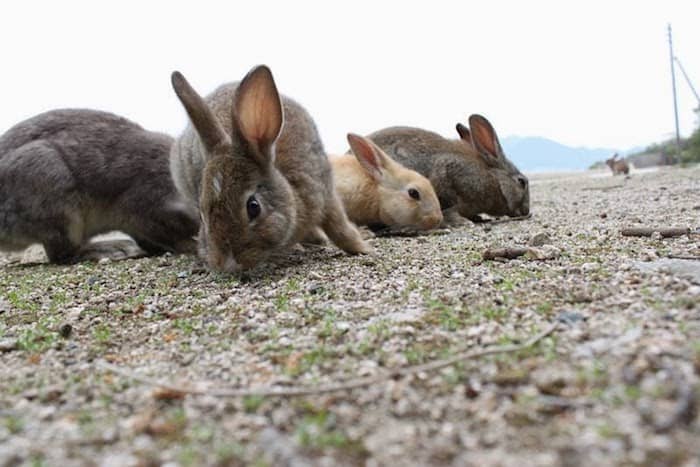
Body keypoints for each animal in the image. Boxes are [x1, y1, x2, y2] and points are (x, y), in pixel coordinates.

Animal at [169, 64, 370, 272]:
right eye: (202, 215)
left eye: (254, 207)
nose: (228, 265)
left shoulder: (325, 191)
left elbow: (339, 226)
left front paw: (363, 248)